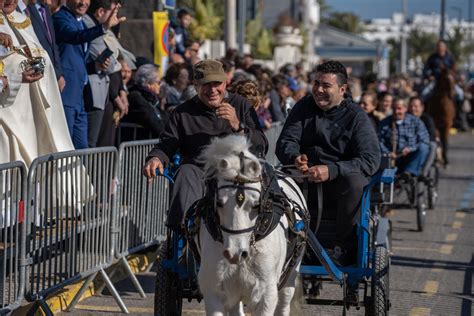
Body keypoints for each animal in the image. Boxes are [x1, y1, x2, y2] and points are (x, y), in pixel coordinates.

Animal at [193, 135, 308, 316]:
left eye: (256, 205)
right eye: (219, 203)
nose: (235, 253)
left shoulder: (266, 294)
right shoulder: (214, 291)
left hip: (291, 273)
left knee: (284, 303)